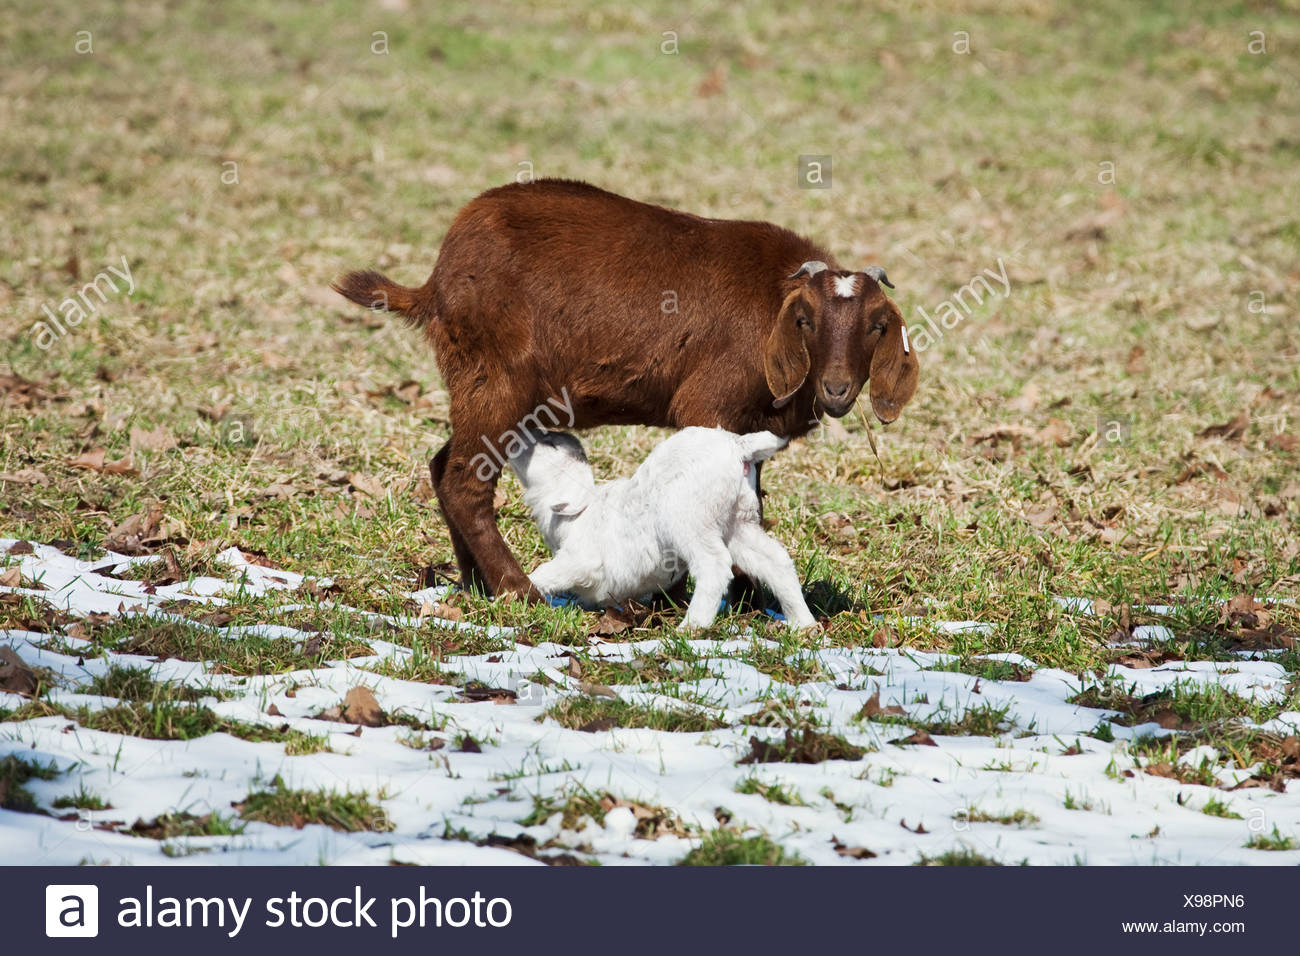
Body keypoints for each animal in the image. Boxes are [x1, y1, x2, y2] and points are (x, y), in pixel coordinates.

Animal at [333, 179, 919, 600]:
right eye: (805, 320)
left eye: (876, 326)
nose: (837, 388)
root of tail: (435, 281)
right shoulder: (709, 403)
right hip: (496, 377)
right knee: (464, 480)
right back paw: (517, 589)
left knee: (442, 465)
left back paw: (477, 582)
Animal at [507, 427, 817, 630]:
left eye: (548, 443)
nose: (517, 432)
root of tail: (737, 447)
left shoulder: (580, 560)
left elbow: (546, 573)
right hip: (739, 523)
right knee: (776, 562)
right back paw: (803, 624)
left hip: (688, 519)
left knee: (715, 566)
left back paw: (692, 626)